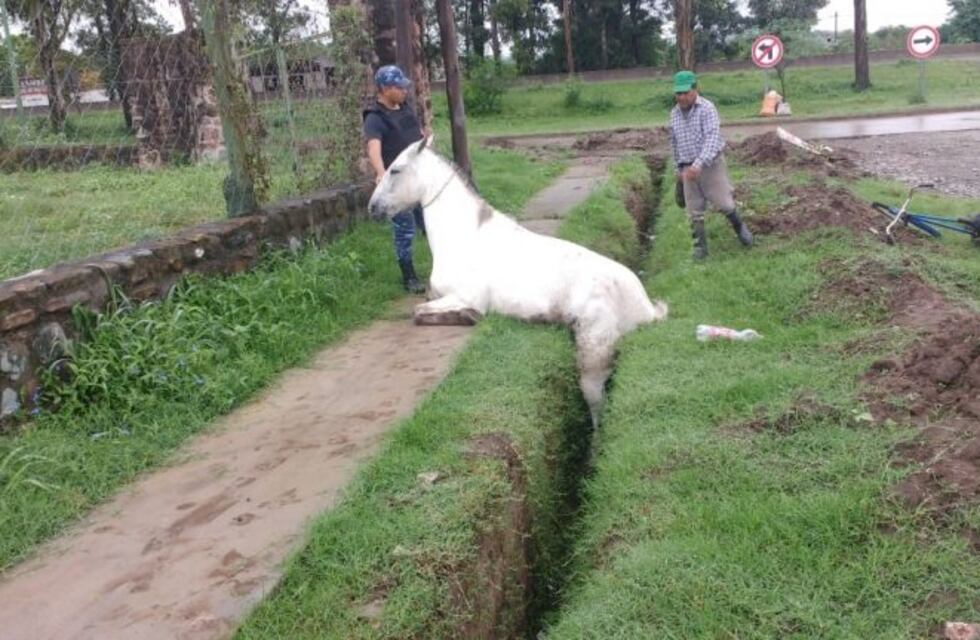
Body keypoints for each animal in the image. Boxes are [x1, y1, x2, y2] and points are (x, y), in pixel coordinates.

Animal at [368, 137, 668, 426]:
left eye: (395, 170)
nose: (373, 208)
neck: (463, 238)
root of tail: (645, 308)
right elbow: (422, 304)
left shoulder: (465, 296)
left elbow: (418, 312)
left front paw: (469, 316)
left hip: (593, 354)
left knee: (596, 404)